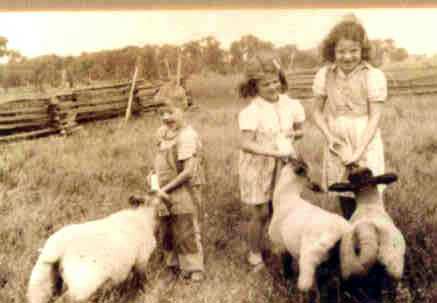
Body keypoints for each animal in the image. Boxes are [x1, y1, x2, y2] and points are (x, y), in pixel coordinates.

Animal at [27, 195, 164, 303]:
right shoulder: (142, 260)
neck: (142, 218)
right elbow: (140, 282)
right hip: (82, 284)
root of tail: (58, 251)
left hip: (41, 281)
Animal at [266, 159, 350, 302]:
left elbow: (287, 268)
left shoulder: (282, 246)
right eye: (308, 176)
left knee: (319, 288)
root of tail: (341, 230)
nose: (316, 186)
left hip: (315, 261)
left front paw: (286, 285)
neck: (286, 198)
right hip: (341, 263)